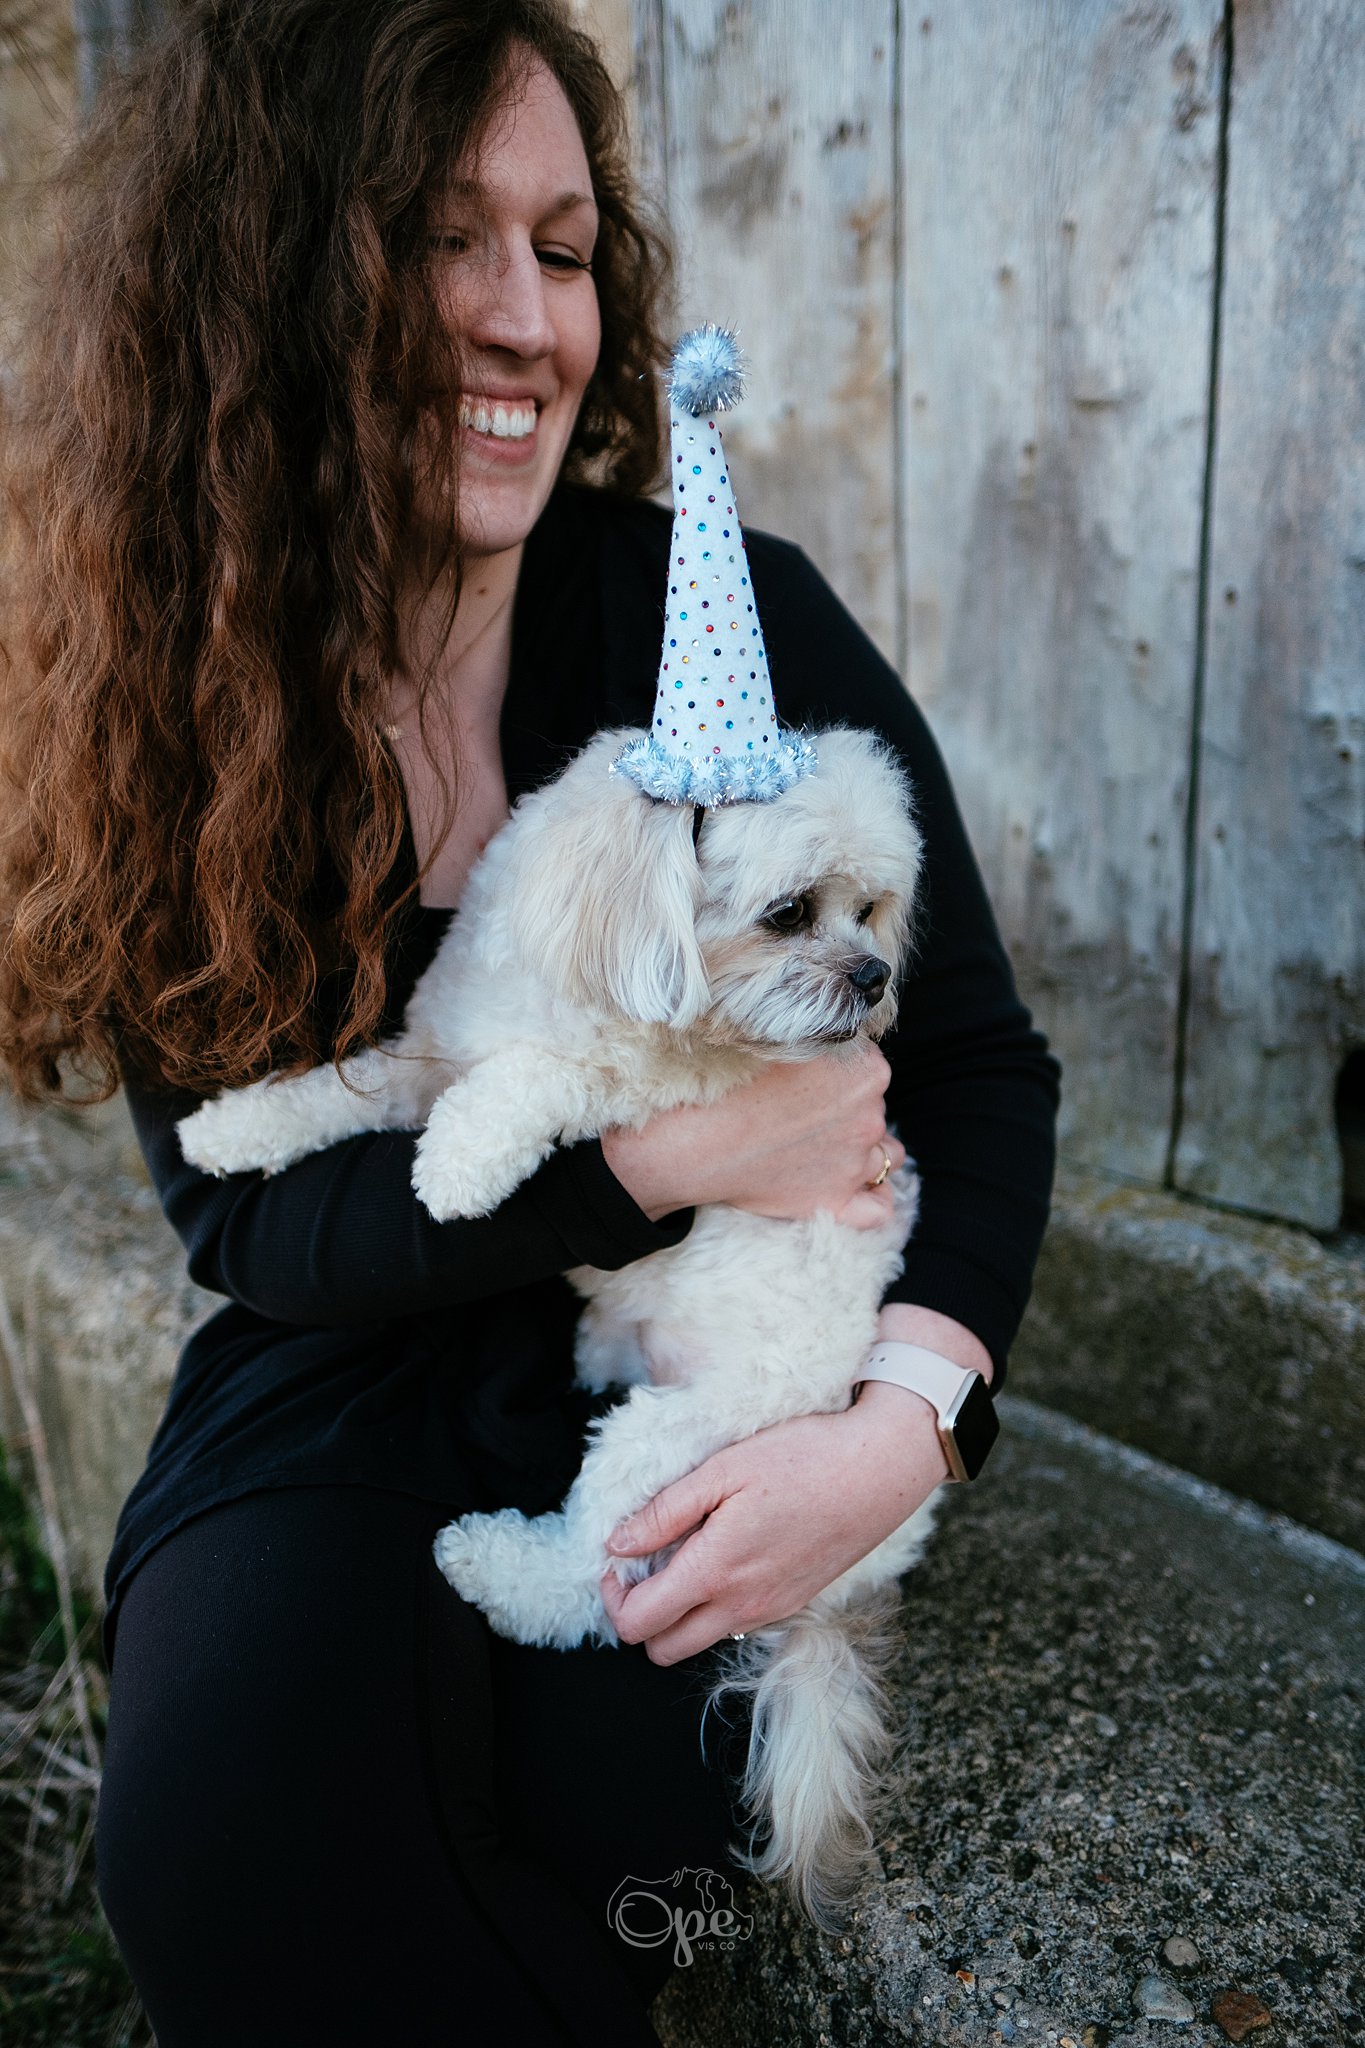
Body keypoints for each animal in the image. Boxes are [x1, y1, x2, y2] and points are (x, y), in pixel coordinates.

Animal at [179, 729, 941, 1925]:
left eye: (868, 910)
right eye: (792, 914)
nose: (874, 979)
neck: (575, 962)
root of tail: (845, 1583)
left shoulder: (668, 1093)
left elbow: (545, 1076)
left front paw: (459, 1163)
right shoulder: (427, 1052)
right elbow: (340, 1094)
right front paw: (233, 1126)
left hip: (671, 1442)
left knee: (590, 1582)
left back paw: (492, 1563)